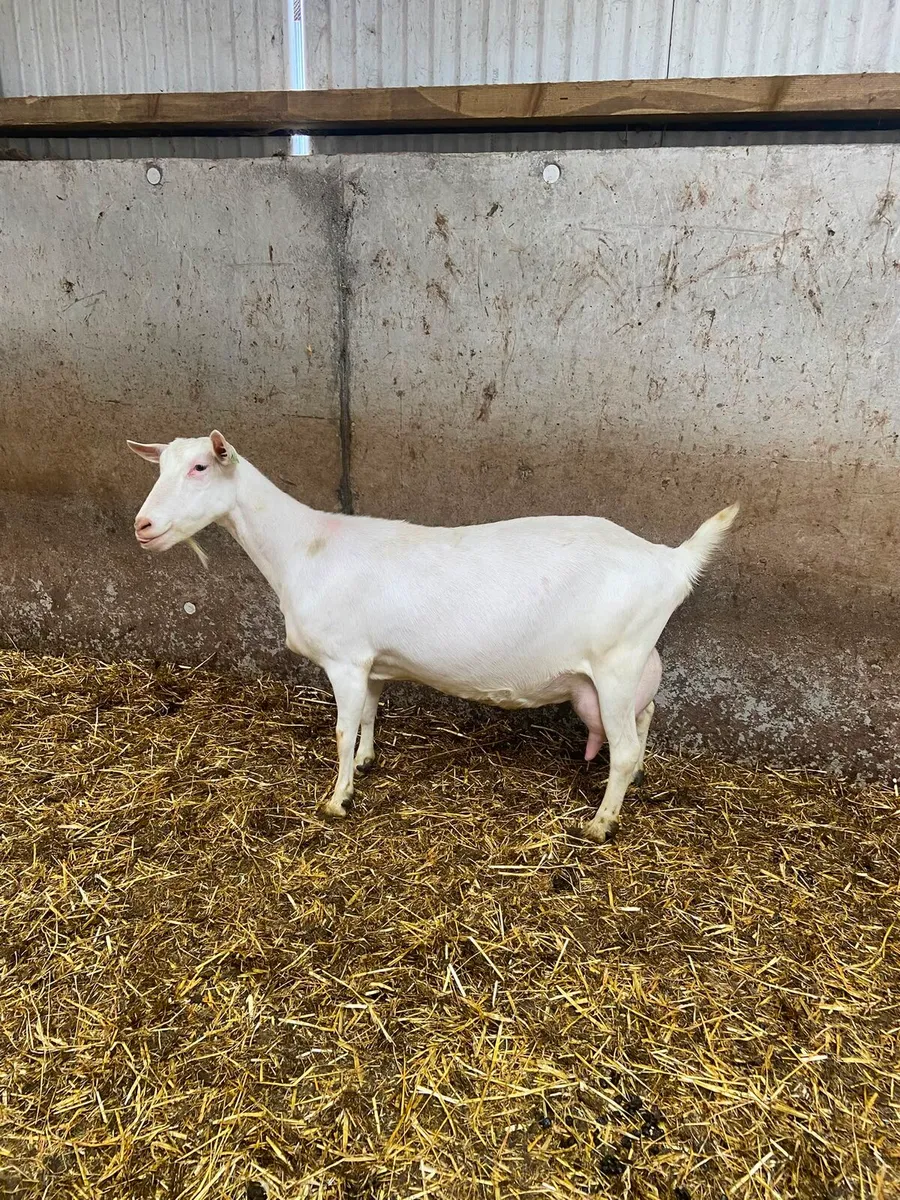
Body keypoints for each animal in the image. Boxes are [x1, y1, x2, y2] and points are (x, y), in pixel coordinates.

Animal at [128, 431, 737, 842]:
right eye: (160, 467)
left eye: (201, 466)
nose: (143, 526)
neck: (301, 547)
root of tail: (670, 561)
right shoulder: (372, 660)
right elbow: (370, 715)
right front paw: (367, 763)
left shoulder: (345, 659)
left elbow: (341, 729)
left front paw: (337, 799)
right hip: (635, 663)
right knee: (644, 721)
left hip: (615, 662)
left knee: (626, 747)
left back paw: (600, 823)